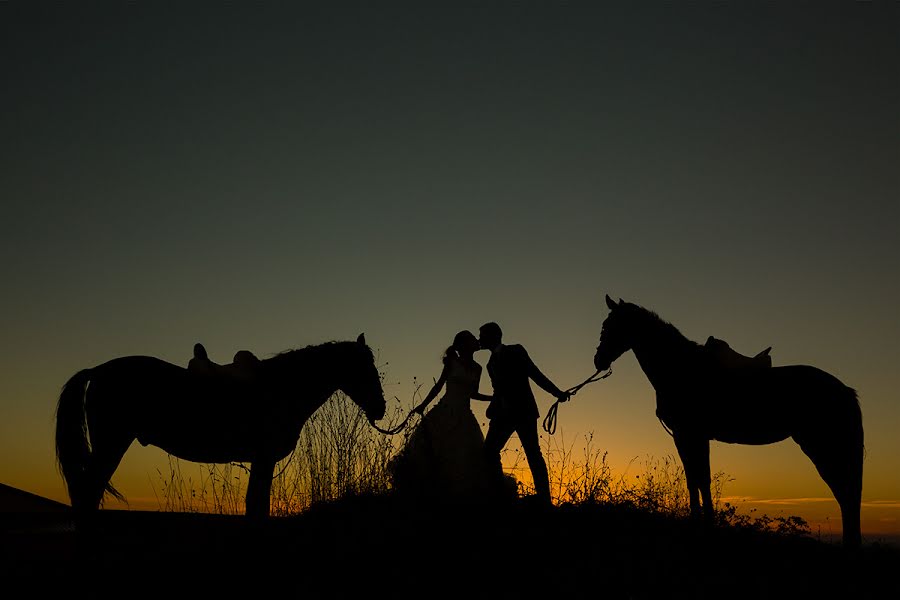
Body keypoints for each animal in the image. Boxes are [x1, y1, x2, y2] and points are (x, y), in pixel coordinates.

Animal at [55, 336, 386, 516]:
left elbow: (256, 505)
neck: (279, 387)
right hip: (111, 445)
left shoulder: (261, 462)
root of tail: (97, 370)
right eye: (364, 368)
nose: (380, 408)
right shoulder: (263, 459)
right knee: (87, 493)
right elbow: (256, 507)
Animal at [596, 296, 860, 548]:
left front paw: (704, 526)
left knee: (845, 491)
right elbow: (695, 479)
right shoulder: (688, 437)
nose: (598, 360)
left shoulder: (690, 434)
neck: (682, 369)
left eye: (609, 326)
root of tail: (844, 389)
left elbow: (701, 479)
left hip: (820, 446)